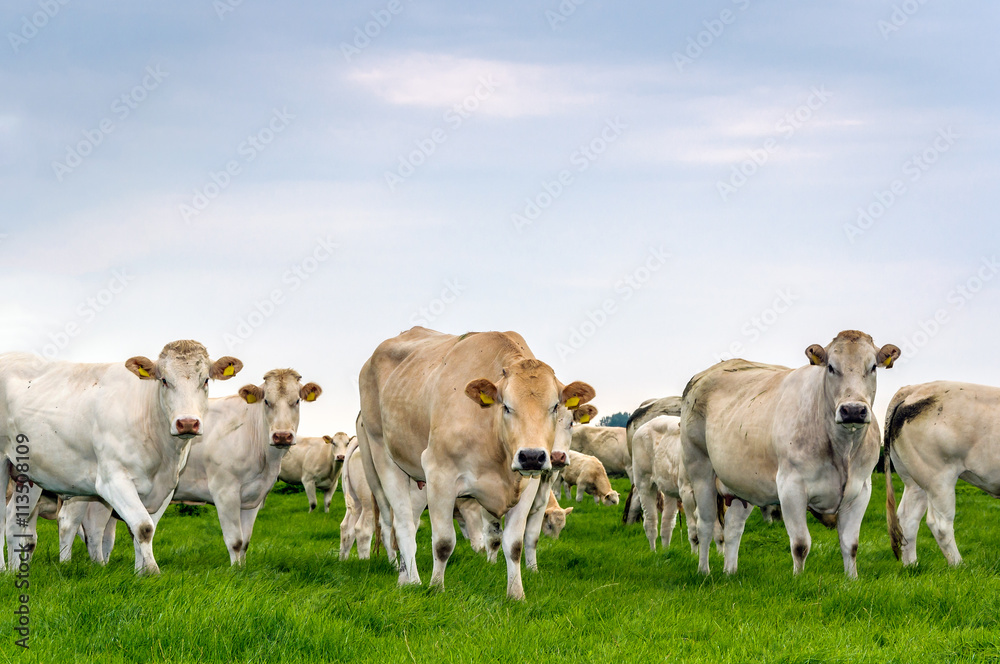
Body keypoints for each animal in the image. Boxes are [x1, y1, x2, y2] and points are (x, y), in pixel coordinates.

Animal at [0, 340, 242, 574]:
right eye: (164, 380)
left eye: (206, 380)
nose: (188, 423)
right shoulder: (113, 480)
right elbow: (144, 527)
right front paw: (152, 572)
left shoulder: (166, 489)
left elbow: (143, 529)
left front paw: (140, 573)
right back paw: (4, 569)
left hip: (29, 475)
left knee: (14, 520)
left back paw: (14, 570)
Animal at [357, 327, 594, 599]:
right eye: (506, 406)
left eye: (555, 407)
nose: (532, 456)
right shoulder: (440, 475)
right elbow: (443, 543)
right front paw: (436, 588)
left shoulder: (529, 487)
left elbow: (514, 544)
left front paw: (516, 594)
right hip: (381, 461)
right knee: (401, 524)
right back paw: (414, 581)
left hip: (416, 480)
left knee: (409, 522)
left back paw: (404, 579)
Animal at [680, 330, 899, 577]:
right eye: (831, 367)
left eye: (872, 367)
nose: (853, 410)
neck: (843, 449)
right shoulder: (791, 486)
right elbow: (801, 544)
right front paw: (798, 578)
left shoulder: (861, 489)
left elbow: (850, 545)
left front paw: (851, 579)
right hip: (700, 470)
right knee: (705, 525)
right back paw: (704, 571)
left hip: (742, 484)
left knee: (733, 528)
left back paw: (730, 572)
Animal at [884, 381, 1000, 567]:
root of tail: (913, 389)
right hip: (939, 478)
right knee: (940, 524)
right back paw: (959, 565)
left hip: (913, 479)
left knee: (907, 518)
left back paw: (911, 565)